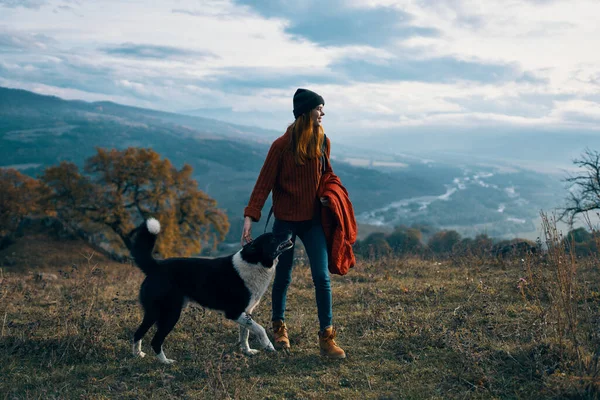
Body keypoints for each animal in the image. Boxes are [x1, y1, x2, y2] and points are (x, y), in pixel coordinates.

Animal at [129, 217, 292, 364]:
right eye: (272, 238)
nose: (290, 230)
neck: (255, 262)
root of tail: (156, 266)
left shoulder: (246, 312)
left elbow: (245, 333)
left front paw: (247, 351)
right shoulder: (233, 312)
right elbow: (260, 329)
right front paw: (268, 346)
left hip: (153, 313)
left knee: (138, 333)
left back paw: (138, 355)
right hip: (170, 313)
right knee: (155, 340)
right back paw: (166, 361)